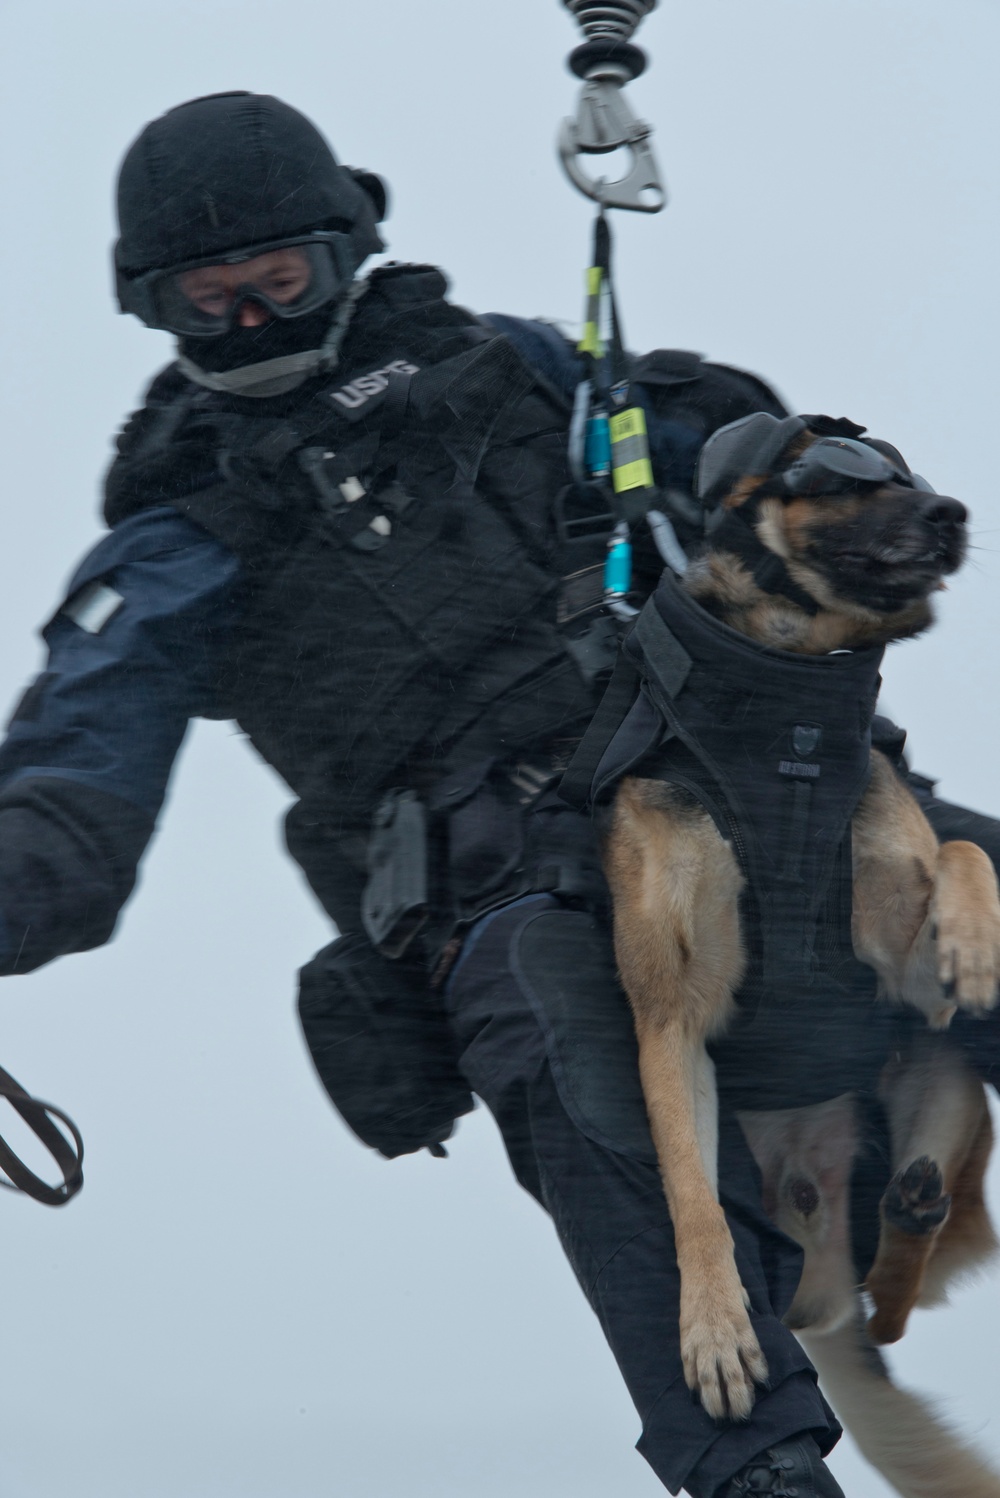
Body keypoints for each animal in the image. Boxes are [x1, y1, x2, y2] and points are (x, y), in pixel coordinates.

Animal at [598, 413, 999, 1498]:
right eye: (843, 479)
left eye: (915, 474)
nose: (953, 513)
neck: (787, 723)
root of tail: (821, 1291)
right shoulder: (671, 1019)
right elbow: (691, 1201)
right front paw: (713, 1333)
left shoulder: (903, 969)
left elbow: (960, 852)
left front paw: (976, 945)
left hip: (943, 1076)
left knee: (896, 1299)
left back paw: (910, 1209)